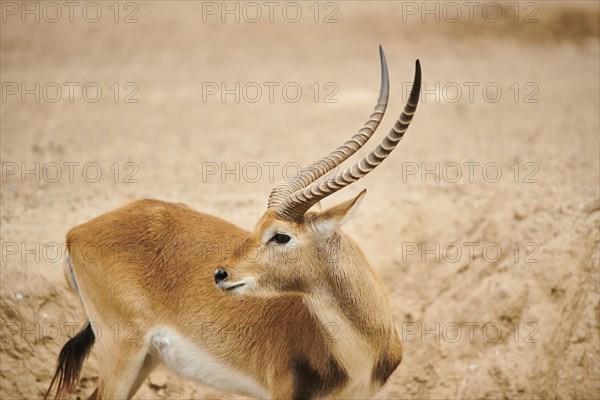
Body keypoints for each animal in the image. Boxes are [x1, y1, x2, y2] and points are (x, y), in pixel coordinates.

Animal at [45, 47, 422, 400]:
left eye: (281, 236)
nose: (220, 273)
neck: (361, 353)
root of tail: (75, 233)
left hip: (145, 359)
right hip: (122, 353)